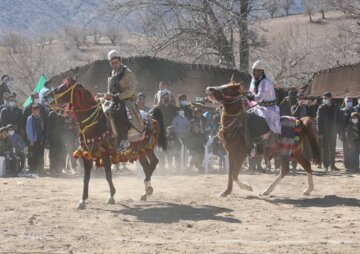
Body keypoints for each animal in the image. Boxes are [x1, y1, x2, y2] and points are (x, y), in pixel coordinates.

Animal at [45, 77, 167, 208]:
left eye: (64, 87)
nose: (46, 96)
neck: (93, 123)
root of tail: (150, 116)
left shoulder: (105, 152)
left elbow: (108, 175)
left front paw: (111, 196)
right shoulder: (87, 154)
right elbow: (86, 178)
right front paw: (82, 200)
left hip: (147, 147)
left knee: (154, 162)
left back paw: (147, 188)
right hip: (140, 150)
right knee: (147, 166)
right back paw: (146, 191)